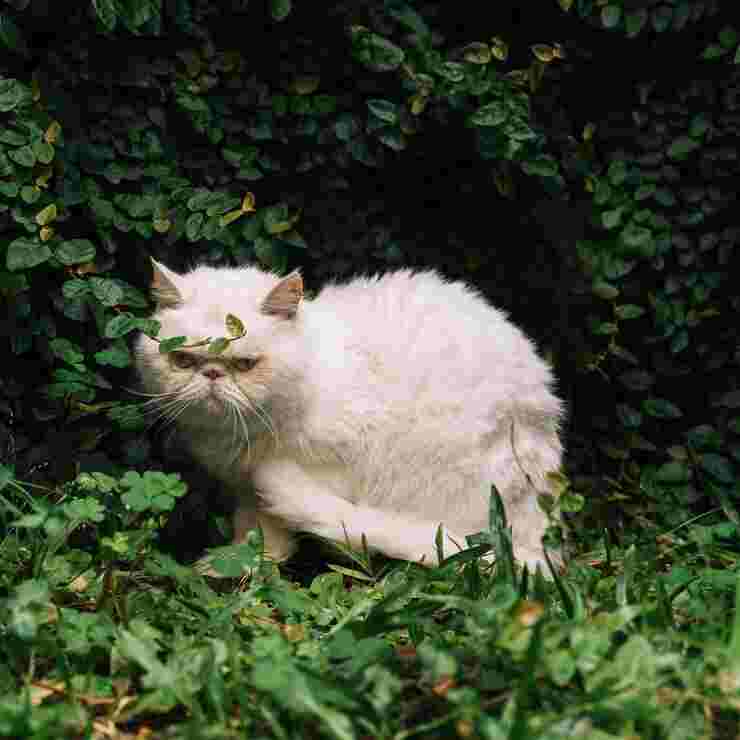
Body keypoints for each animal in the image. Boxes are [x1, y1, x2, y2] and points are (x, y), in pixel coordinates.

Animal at [133, 260, 564, 572]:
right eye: (182, 360)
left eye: (245, 364)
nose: (211, 375)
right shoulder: (241, 483)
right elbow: (248, 526)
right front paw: (235, 557)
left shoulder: (322, 469)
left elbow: (272, 529)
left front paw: (252, 563)